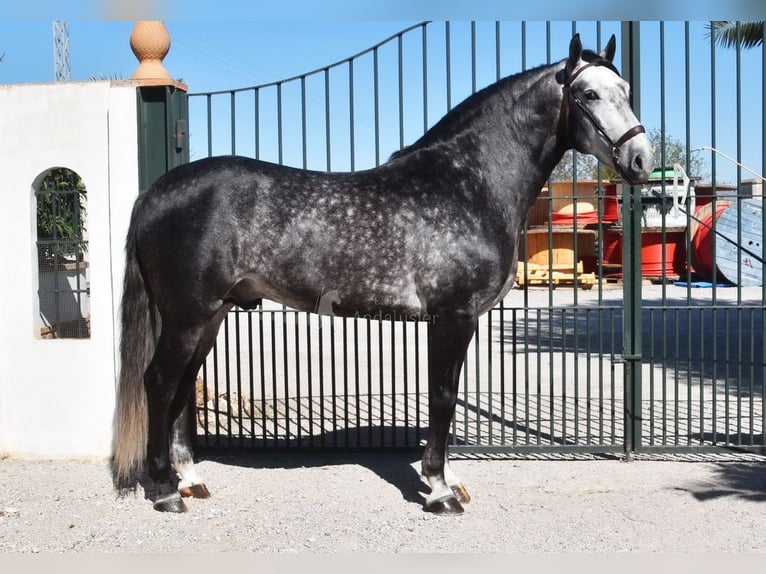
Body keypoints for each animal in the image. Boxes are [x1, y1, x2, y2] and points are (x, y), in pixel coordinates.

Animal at [112, 33, 656, 516]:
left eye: (627, 91)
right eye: (588, 94)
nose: (641, 160)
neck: (466, 184)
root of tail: (155, 192)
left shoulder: (454, 321)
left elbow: (445, 397)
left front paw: (449, 480)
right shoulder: (453, 316)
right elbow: (442, 397)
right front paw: (439, 490)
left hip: (211, 315)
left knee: (183, 386)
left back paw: (190, 479)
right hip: (187, 316)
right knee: (159, 382)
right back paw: (164, 490)